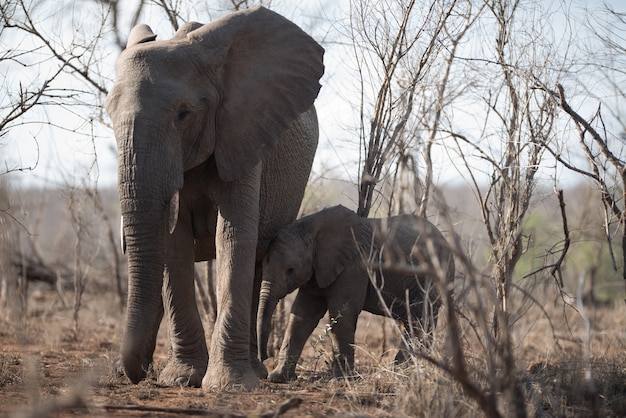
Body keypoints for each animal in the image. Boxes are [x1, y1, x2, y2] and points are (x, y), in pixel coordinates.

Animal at [103, 6, 322, 390]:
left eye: (183, 115)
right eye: (108, 115)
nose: (139, 376)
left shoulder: (243, 132)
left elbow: (233, 236)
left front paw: (228, 385)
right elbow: (172, 244)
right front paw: (181, 379)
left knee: (258, 264)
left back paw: (256, 371)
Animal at [256, 203, 450, 382]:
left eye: (290, 270)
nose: (263, 358)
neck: (312, 227)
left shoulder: (354, 266)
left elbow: (342, 314)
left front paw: (340, 381)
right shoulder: (317, 269)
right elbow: (301, 316)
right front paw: (278, 378)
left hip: (433, 277)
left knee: (421, 319)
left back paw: (402, 373)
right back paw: (401, 371)